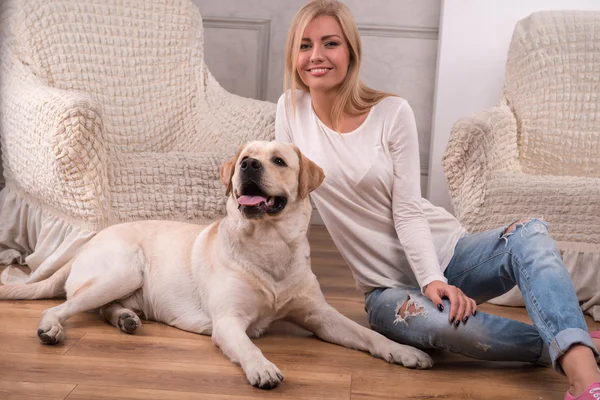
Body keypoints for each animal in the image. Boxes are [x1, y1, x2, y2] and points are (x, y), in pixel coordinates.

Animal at [0, 140, 434, 388]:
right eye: (245, 157)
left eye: (278, 161)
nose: (248, 165)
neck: (268, 246)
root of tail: (89, 240)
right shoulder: (228, 322)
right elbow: (248, 346)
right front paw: (262, 367)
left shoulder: (321, 317)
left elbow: (368, 335)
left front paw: (404, 352)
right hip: (123, 270)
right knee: (63, 305)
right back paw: (52, 328)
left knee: (103, 308)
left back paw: (125, 318)